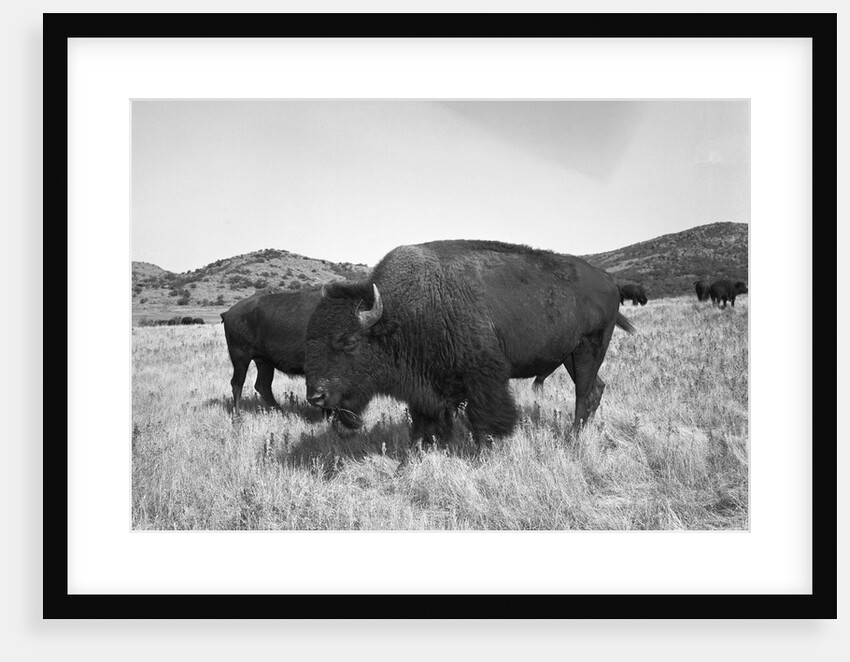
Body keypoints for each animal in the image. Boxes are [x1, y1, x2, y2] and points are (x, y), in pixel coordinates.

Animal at [304, 240, 635, 456]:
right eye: (310, 339)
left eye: (349, 341)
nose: (315, 396)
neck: (400, 313)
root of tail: (610, 281)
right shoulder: (427, 388)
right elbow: (427, 420)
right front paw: (424, 450)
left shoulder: (483, 377)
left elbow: (485, 418)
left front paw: (485, 451)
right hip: (571, 356)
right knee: (595, 388)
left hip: (589, 349)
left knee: (584, 393)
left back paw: (573, 438)